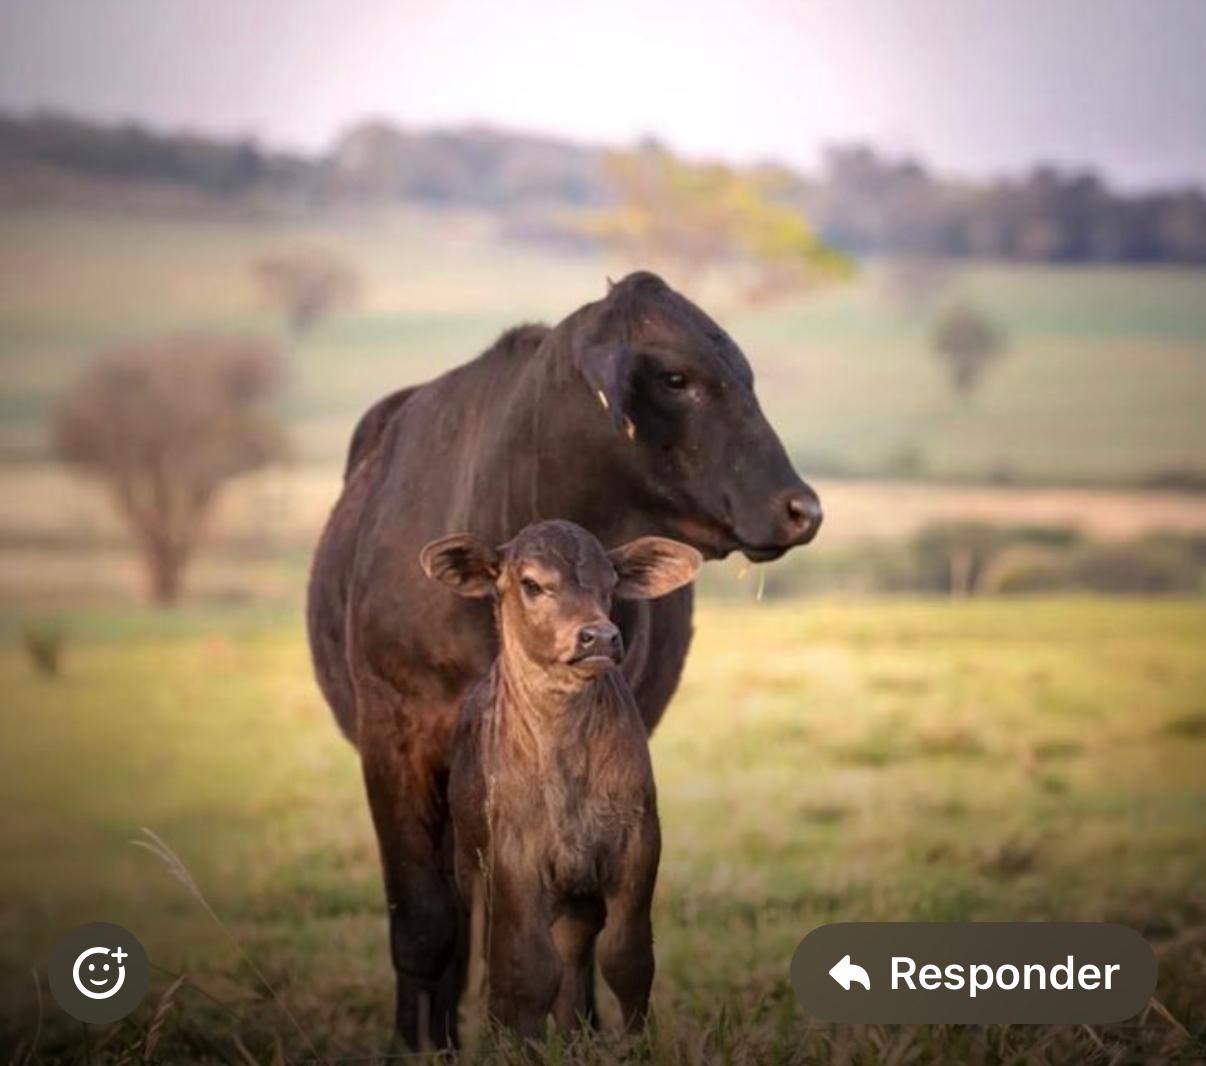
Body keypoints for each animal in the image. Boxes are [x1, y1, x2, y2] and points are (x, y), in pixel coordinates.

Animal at [306, 271, 822, 1048]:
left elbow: (574, 926)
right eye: (678, 378)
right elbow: (425, 923)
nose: (802, 509)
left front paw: (576, 1032)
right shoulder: (394, 738)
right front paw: (417, 1045)